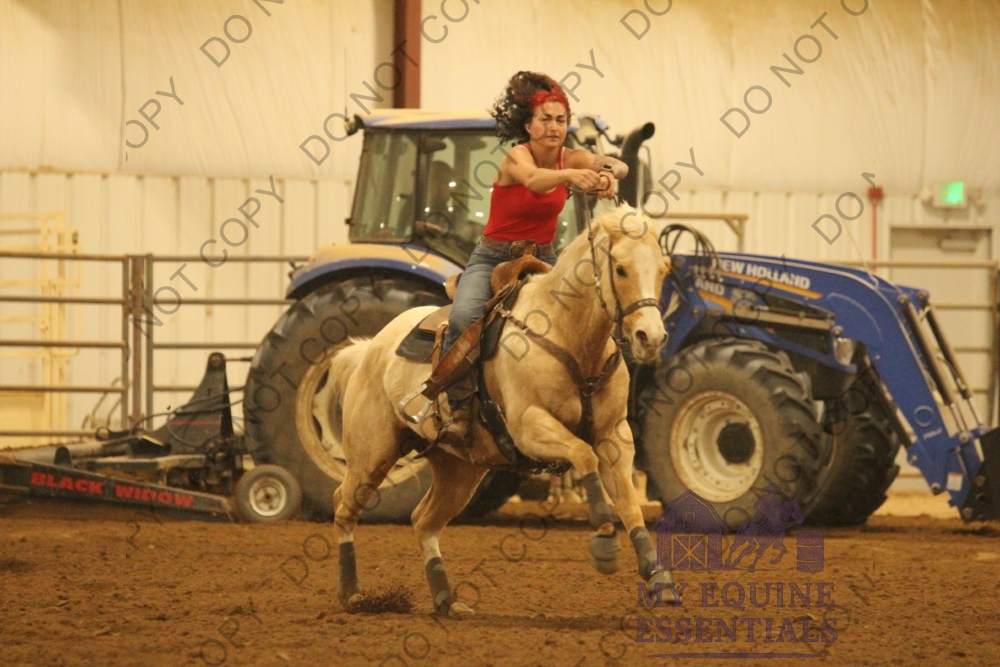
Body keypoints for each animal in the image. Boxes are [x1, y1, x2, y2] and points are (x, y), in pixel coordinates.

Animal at [325, 204, 674, 616]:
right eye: (620, 268)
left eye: (664, 268)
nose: (651, 338)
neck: (569, 335)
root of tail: (368, 349)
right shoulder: (529, 427)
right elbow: (583, 455)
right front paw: (604, 540)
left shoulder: (614, 435)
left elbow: (630, 504)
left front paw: (657, 577)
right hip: (372, 455)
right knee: (344, 506)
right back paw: (352, 593)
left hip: (458, 470)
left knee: (424, 521)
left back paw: (446, 600)